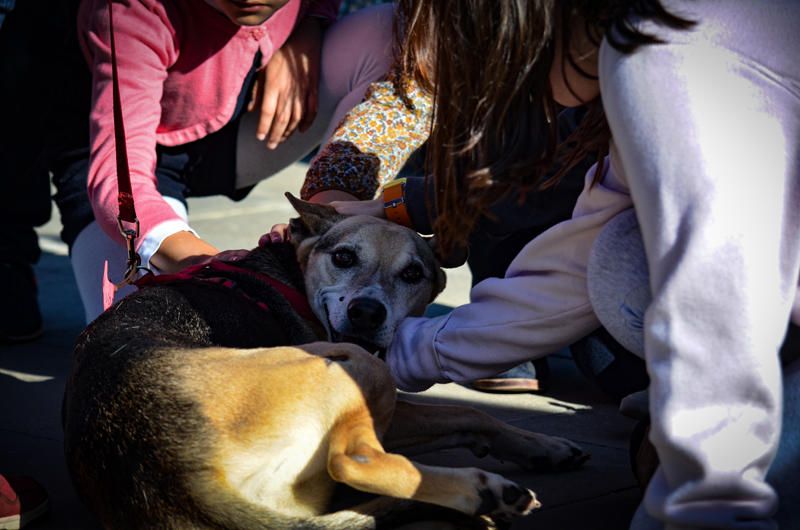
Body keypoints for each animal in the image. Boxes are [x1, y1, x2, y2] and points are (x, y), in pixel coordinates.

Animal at [62, 194, 588, 528]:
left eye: (412, 274)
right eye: (344, 256)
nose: (366, 312)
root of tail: (172, 464)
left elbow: (473, 417)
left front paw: (544, 448)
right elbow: (469, 412)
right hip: (358, 371)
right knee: (353, 460)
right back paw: (480, 492)